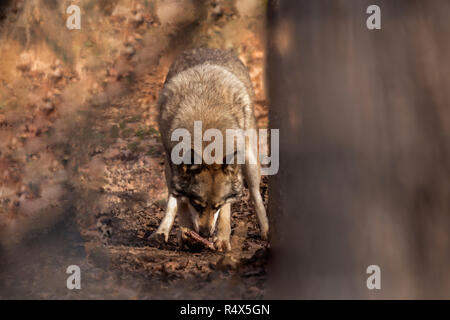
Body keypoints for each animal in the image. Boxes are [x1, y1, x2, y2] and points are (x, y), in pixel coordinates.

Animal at [151, 48, 268, 252]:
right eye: (197, 205)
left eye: (216, 206)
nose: (205, 234)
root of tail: (211, 48)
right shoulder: (175, 168)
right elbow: (181, 203)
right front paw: (185, 234)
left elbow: (226, 211)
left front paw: (221, 239)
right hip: (168, 168)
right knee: (172, 200)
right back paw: (161, 232)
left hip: (250, 161)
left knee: (255, 194)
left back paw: (266, 231)